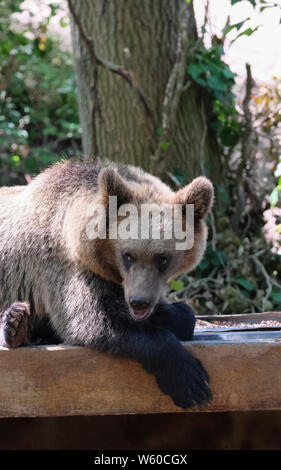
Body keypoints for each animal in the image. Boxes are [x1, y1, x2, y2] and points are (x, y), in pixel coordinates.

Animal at [0, 161, 212, 408]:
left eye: (163, 259)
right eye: (127, 255)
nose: (139, 303)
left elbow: (182, 315)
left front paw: (167, 316)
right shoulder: (63, 267)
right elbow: (95, 321)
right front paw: (189, 379)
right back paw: (16, 323)